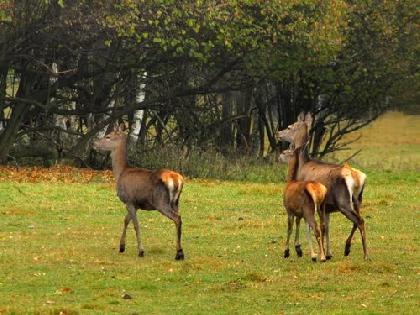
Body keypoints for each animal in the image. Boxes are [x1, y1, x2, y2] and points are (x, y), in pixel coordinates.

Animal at [93, 131, 185, 262]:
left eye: (108, 136)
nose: (94, 143)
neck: (120, 173)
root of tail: (176, 178)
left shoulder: (129, 200)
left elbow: (136, 225)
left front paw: (141, 251)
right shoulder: (135, 204)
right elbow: (126, 220)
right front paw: (122, 246)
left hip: (161, 202)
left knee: (177, 218)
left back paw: (178, 253)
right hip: (176, 202)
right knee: (179, 218)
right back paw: (180, 252)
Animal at [278, 113, 368, 262]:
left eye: (290, 126)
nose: (278, 133)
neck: (302, 165)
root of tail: (358, 178)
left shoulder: (306, 201)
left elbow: (305, 223)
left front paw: (301, 249)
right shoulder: (326, 208)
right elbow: (326, 227)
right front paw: (327, 253)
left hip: (343, 202)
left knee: (359, 221)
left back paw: (365, 254)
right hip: (357, 200)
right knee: (358, 220)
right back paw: (347, 248)